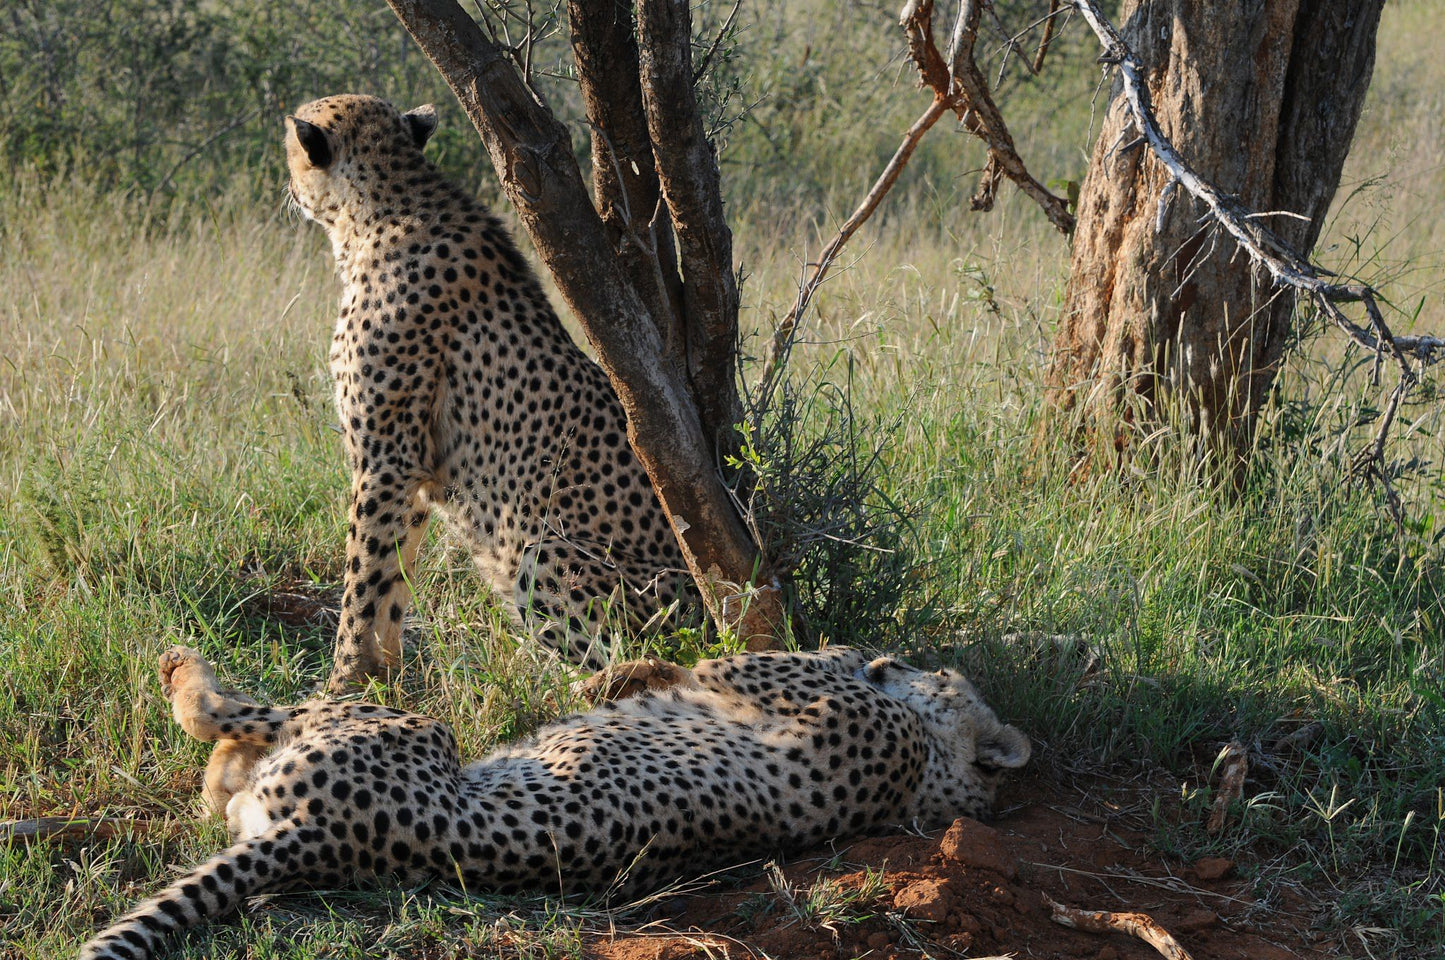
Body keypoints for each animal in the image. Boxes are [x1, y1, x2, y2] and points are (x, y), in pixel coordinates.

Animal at [79, 644, 1028, 960]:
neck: (932, 771)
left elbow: (748, 657)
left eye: (938, 674)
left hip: (394, 723)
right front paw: (617, 677)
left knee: (223, 719)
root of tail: (317, 837)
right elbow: (674, 668)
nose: (893, 664)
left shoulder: (783, 686)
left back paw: (182, 668)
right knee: (222, 771)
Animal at [283, 93, 693, 685]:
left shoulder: (387, 459)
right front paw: (386, 683)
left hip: (544, 550)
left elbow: (361, 583)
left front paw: (339, 685)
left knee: (610, 661)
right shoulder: (412, 471)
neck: (379, 212)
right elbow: (391, 581)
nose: (288, 188)